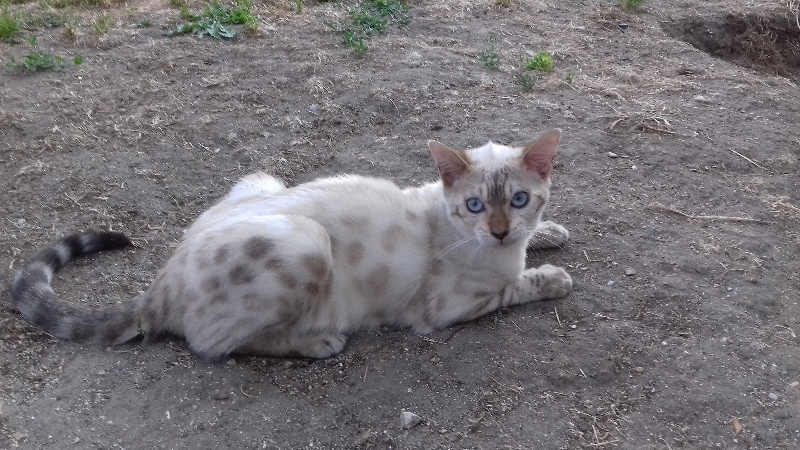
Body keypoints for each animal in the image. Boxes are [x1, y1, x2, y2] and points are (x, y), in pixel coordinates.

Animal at [12, 128, 576, 360]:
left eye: (520, 200)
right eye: (476, 206)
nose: (500, 231)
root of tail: (159, 284)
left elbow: (538, 240)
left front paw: (550, 232)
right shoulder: (448, 308)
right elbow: (517, 286)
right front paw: (552, 277)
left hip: (262, 179)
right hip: (306, 243)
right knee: (213, 344)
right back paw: (315, 343)